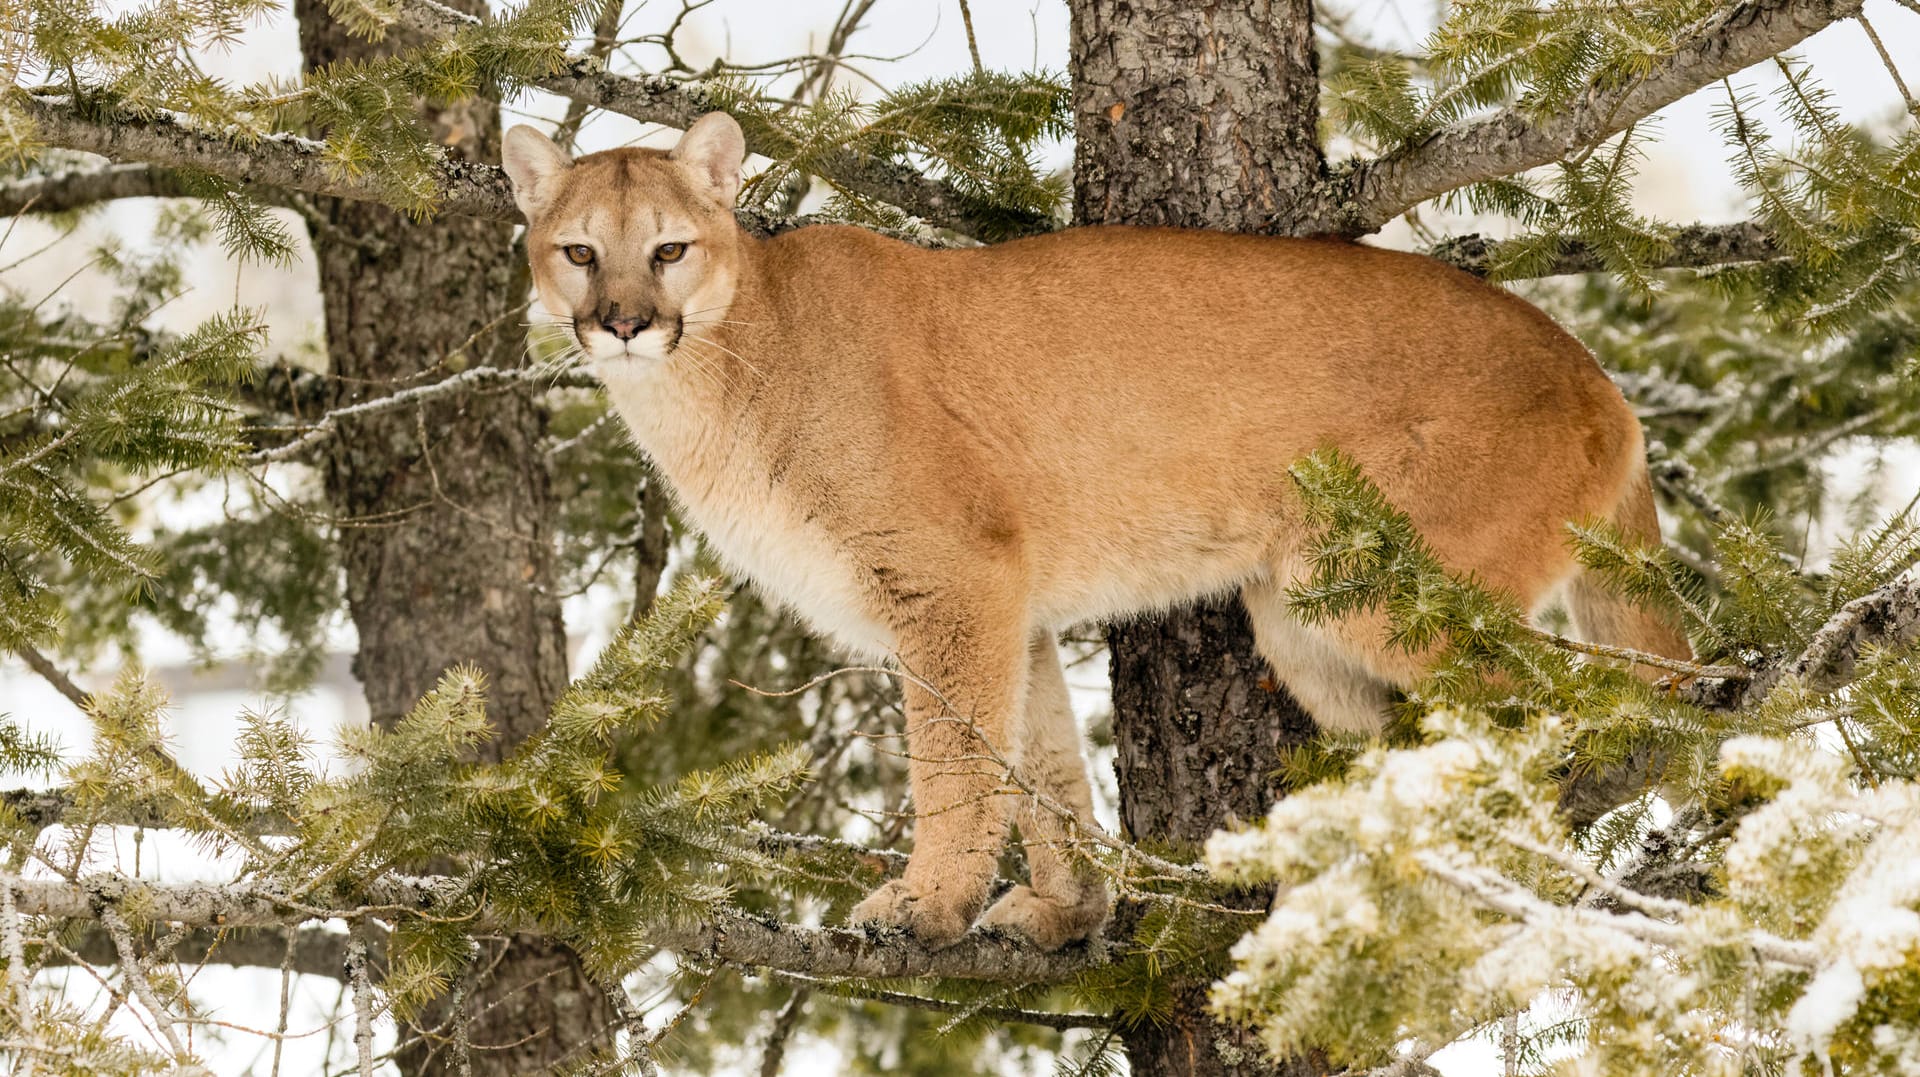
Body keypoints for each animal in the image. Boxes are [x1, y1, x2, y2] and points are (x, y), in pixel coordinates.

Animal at [503, 111, 1689, 948]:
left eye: (666, 250)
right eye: (578, 252)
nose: (622, 323)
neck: (723, 374)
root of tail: (1600, 376)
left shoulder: (951, 583)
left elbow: (952, 766)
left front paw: (924, 906)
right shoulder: (1008, 605)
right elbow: (1038, 765)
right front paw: (1067, 913)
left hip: (1380, 584)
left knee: (1570, 702)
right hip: (1306, 618)